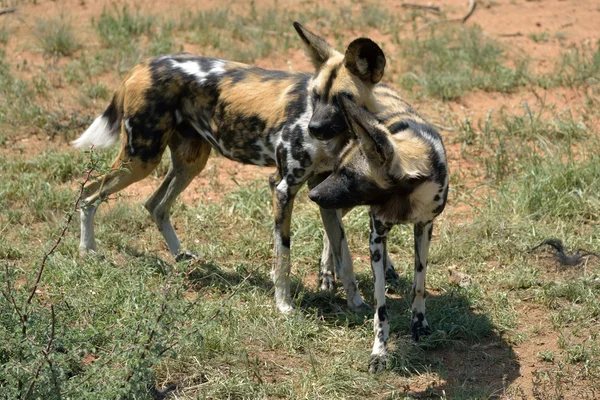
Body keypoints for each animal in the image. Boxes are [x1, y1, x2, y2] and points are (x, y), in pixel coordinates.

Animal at [71, 22, 390, 316]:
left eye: (341, 99)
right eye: (315, 96)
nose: (314, 128)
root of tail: (143, 65)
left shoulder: (323, 193)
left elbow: (344, 256)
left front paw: (356, 303)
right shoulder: (283, 188)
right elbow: (283, 257)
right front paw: (284, 306)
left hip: (190, 162)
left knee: (155, 205)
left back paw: (181, 256)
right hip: (140, 160)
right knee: (88, 194)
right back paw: (88, 251)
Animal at [310, 94, 446, 372]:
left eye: (348, 175)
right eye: (337, 169)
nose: (312, 194)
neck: (402, 197)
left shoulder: (424, 227)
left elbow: (419, 285)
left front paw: (419, 325)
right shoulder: (376, 235)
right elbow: (380, 306)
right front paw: (380, 351)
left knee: (334, 224)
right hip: (345, 204)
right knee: (333, 225)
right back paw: (327, 272)